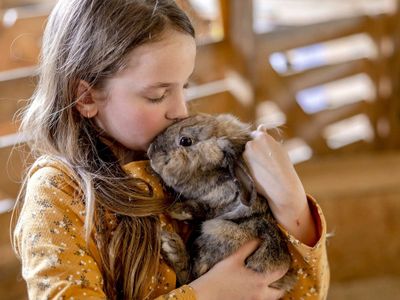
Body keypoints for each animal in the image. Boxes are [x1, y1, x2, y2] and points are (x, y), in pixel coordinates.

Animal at [147, 113, 296, 292]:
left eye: (185, 141)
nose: (150, 152)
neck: (215, 174)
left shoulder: (217, 204)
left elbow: (202, 208)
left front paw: (176, 210)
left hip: (221, 231)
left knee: (191, 275)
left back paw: (172, 247)